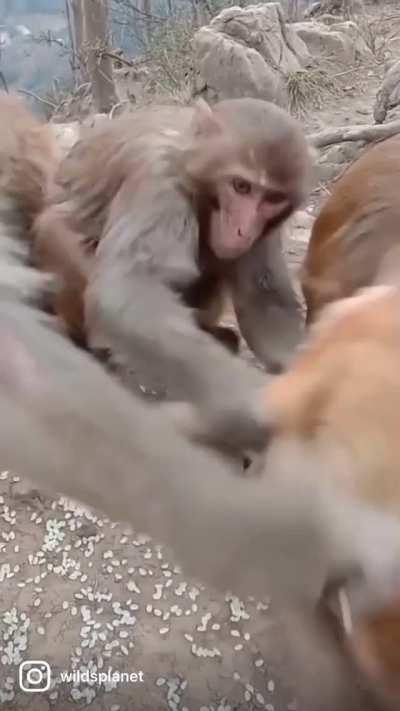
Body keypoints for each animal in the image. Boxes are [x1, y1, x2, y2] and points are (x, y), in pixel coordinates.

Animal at [33, 97, 313, 389]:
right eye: (241, 186)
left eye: (273, 199)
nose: (242, 230)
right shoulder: (159, 181)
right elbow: (126, 288)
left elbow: (263, 301)